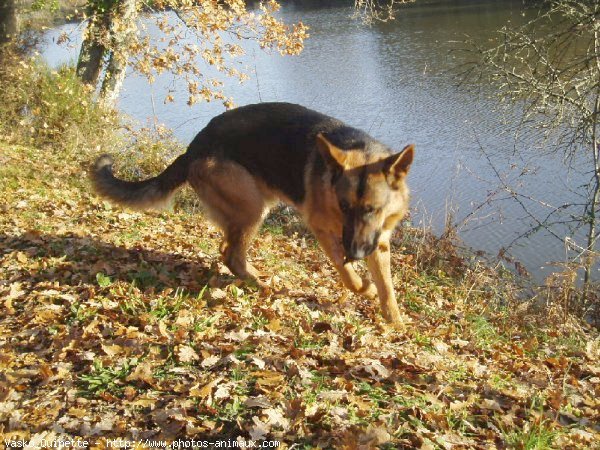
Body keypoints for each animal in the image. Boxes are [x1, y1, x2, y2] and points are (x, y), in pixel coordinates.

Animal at [91, 103, 414, 326]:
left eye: (373, 209)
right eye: (344, 206)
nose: (357, 253)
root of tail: (193, 147)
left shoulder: (378, 242)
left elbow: (388, 288)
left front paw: (395, 322)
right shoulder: (323, 229)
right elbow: (346, 272)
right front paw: (364, 288)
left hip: (249, 208)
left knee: (226, 249)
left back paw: (252, 276)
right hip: (252, 209)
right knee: (232, 255)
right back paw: (259, 284)